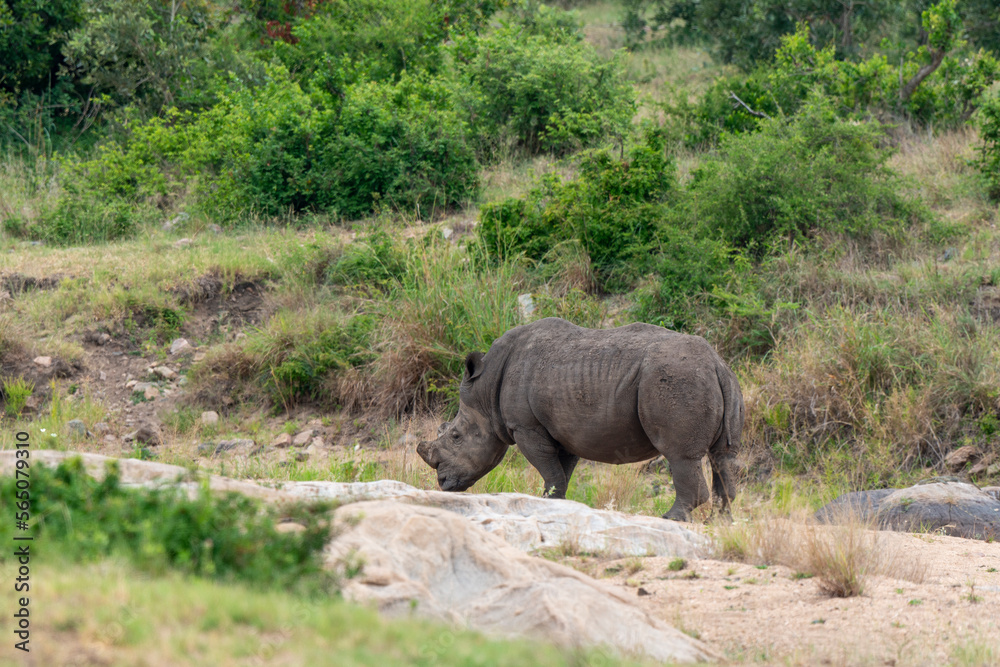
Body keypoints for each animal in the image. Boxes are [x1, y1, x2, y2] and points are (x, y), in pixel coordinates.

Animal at [416, 317, 744, 521]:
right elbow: (560, 473)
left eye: (456, 436)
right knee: (722, 457)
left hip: (677, 379)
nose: (443, 483)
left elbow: (549, 469)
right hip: (720, 380)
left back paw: (673, 518)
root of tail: (716, 363)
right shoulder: (562, 430)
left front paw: (547, 503)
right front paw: (552, 505)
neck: (486, 391)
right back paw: (720, 522)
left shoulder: (526, 427)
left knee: (679, 455)